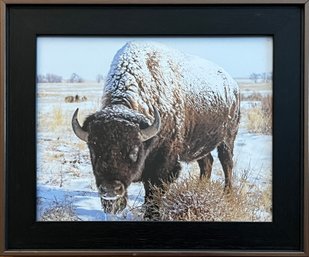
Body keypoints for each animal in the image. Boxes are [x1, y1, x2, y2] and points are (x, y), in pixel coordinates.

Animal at [71, 41, 239, 218]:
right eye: (93, 150)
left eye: (134, 151)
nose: (110, 189)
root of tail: (233, 86)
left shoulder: (163, 163)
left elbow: (153, 190)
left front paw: (151, 214)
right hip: (201, 144)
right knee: (206, 163)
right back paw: (201, 189)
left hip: (228, 138)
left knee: (226, 162)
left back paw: (227, 194)